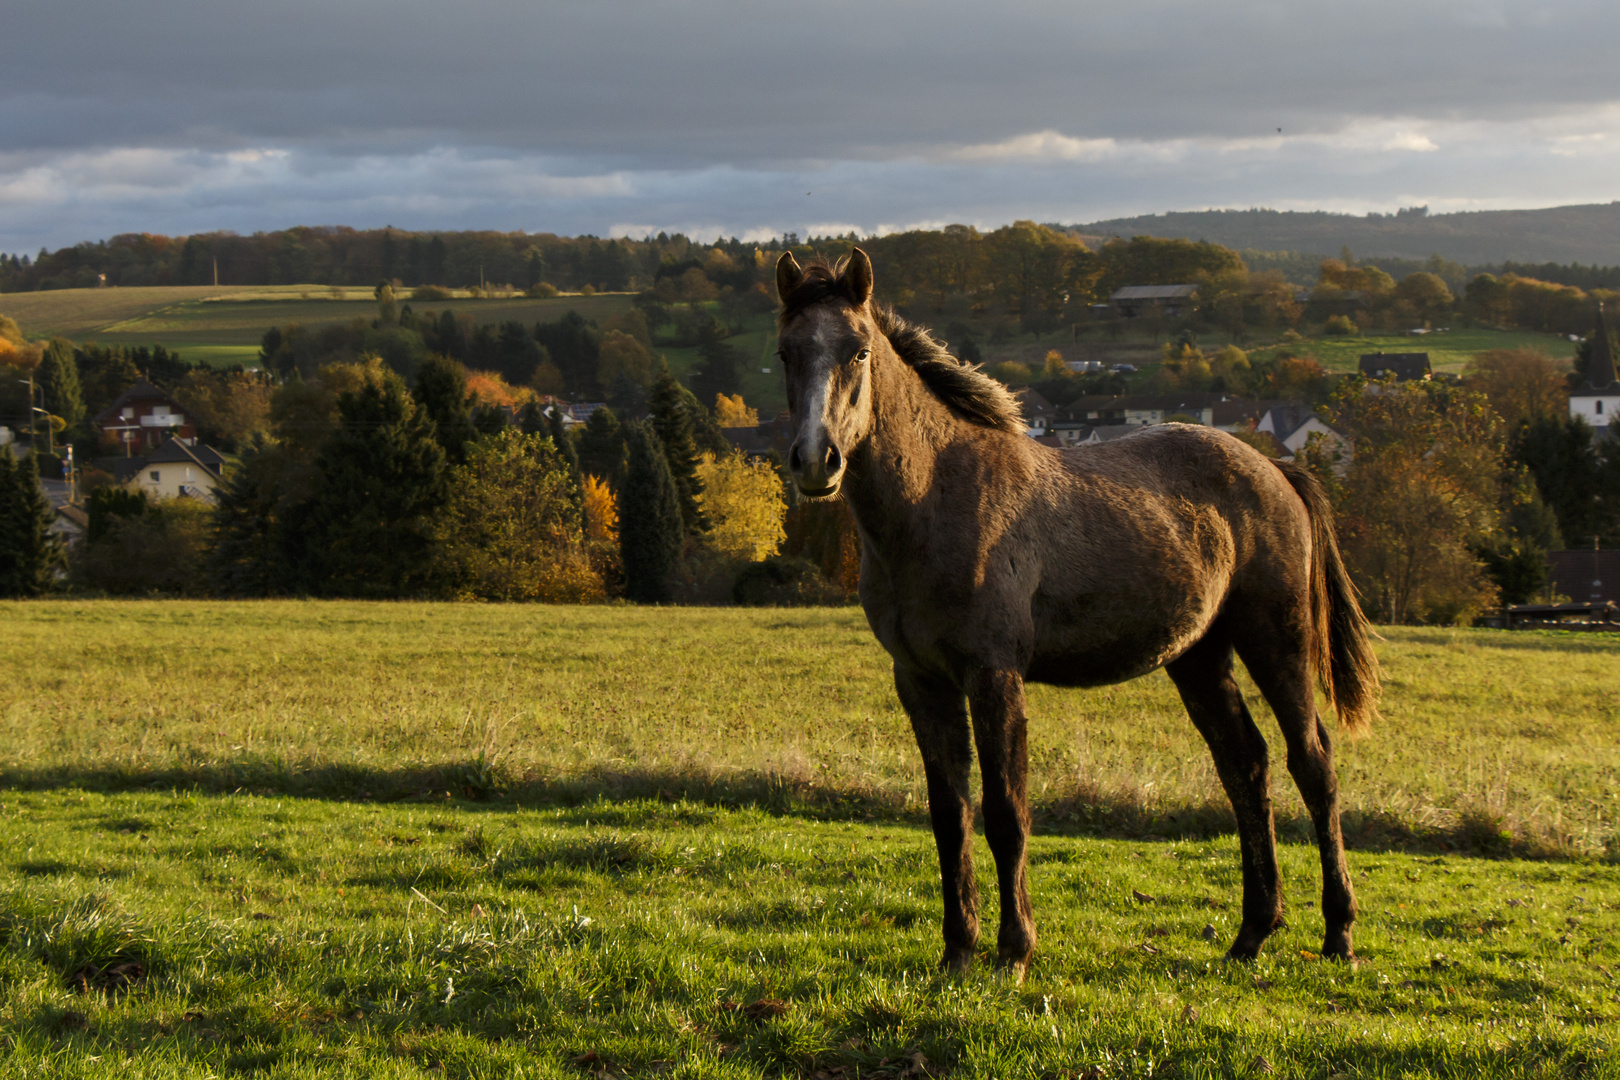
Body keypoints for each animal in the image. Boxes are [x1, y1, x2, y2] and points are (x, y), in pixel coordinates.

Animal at [774, 249, 1380, 984]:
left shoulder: (994, 675)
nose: (816, 461)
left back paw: (1339, 934)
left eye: (858, 350)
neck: (937, 497)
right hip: (1198, 656)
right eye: (785, 353)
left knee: (1312, 765)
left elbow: (1006, 811)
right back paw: (1251, 934)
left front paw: (1013, 953)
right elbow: (950, 816)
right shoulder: (921, 682)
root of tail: (1276, 470)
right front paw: (957, 951)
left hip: (1276, 641)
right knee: (1246, 766)